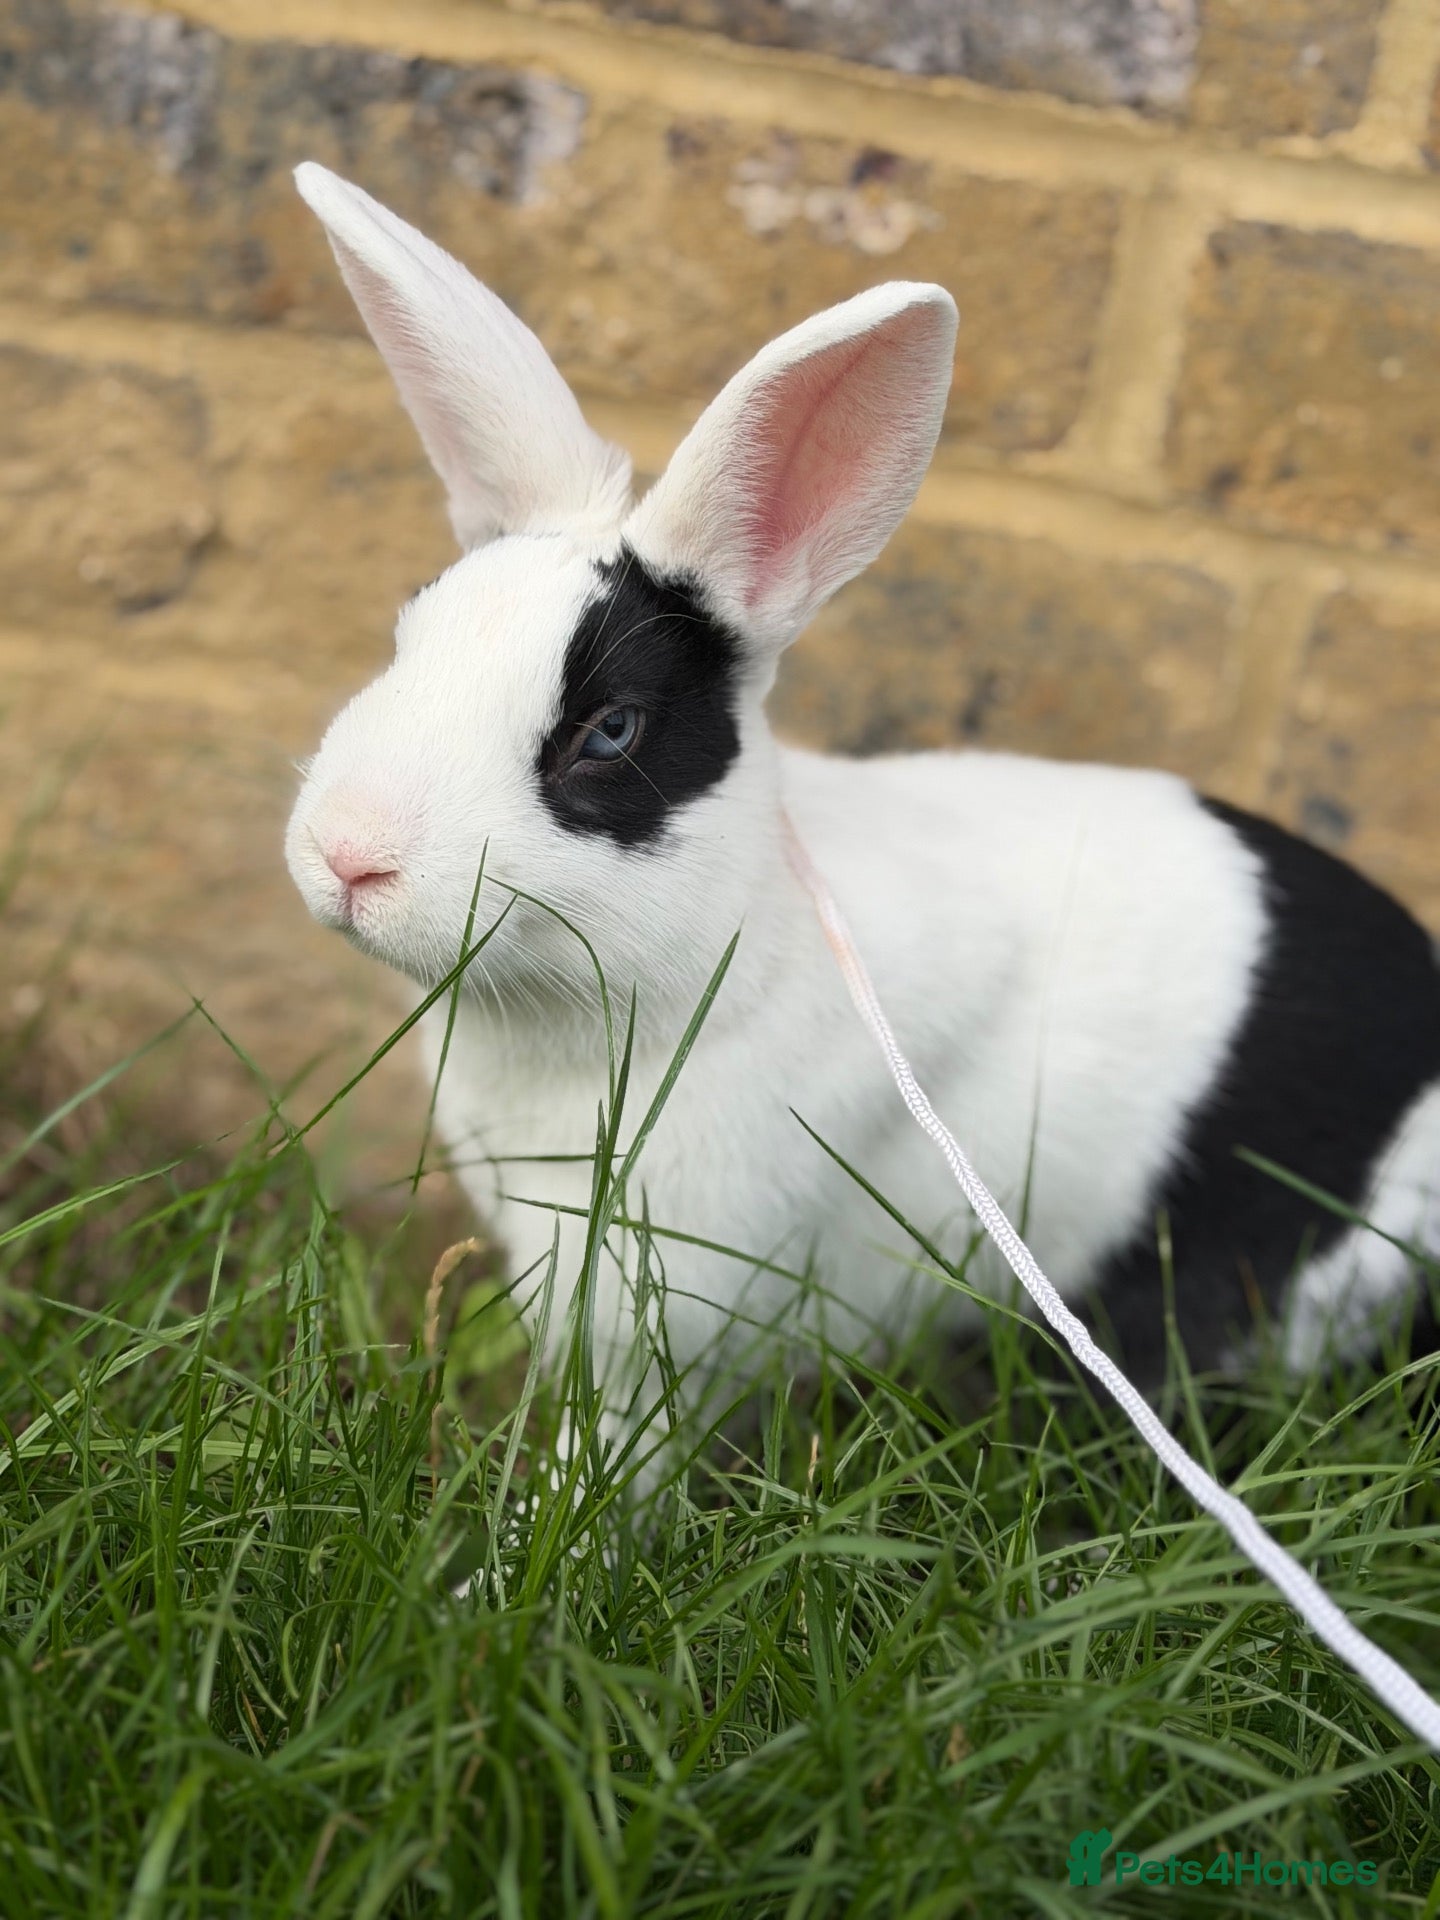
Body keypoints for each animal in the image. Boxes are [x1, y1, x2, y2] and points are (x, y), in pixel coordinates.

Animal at [284, 162, 1440, 1464]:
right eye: (408, 631)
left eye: (611, 732)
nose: (348, 855)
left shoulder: (661, 1308)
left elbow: (619, 1448)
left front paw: (540, 1526)